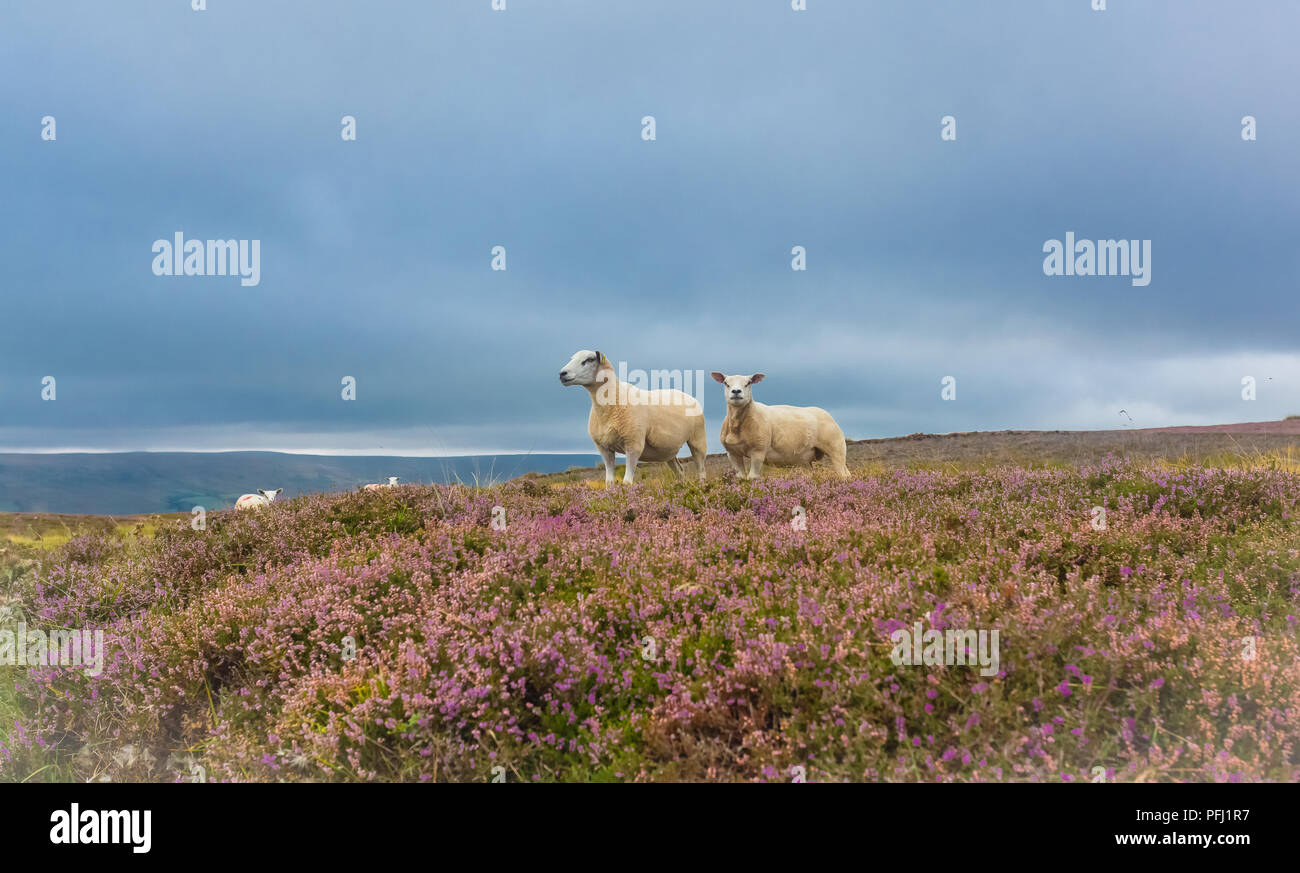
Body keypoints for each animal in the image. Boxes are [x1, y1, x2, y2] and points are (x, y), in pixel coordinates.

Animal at [556, 348, 707, 483]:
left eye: (589, 359)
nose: (562, 373)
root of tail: (690, 396)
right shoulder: (604, 448)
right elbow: (609, 482)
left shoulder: (633, 444)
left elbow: (627, 482)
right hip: (668, 450)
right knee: (680, 471)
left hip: (697, 440)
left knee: (701, 471)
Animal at [712, 374, 852, 480]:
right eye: (726, 383)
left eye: (749, 382)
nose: (736, 392)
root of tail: (826, 414)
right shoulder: (732, 453)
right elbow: (741, 477)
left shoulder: (758, 451)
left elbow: (752, 477)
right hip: (807, 459)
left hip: (836, 449)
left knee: (843, 474)